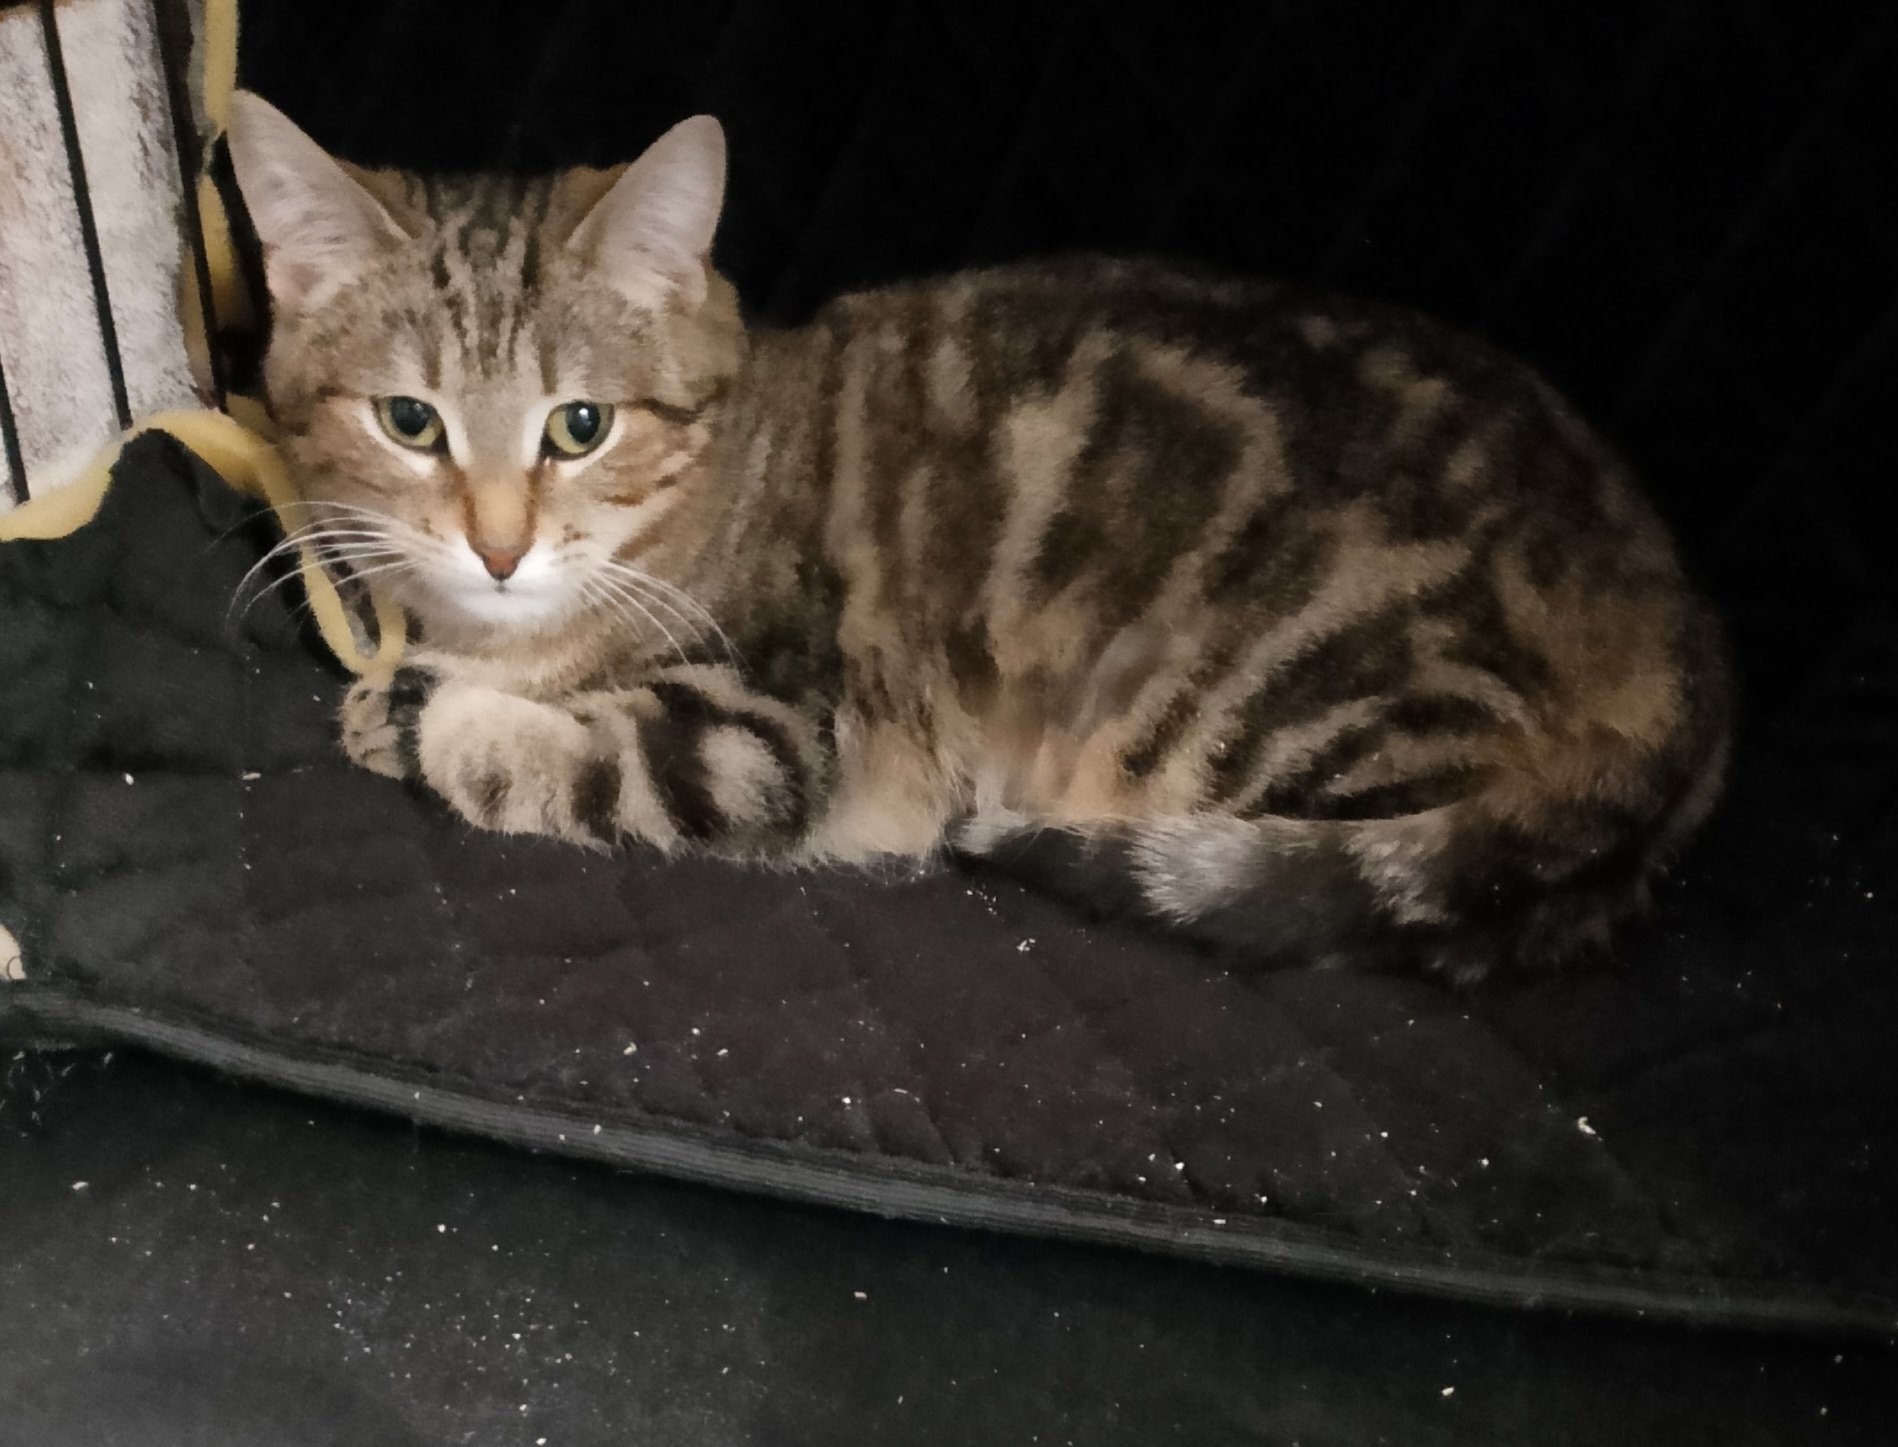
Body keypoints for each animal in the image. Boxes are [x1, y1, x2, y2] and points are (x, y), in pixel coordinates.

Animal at [224, 91, 1731, 982]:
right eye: (410, 420)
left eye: (579, 424)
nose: (495, 546)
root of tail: (1685, 657)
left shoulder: (774, 732)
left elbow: (573, 756)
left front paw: (415, 712)